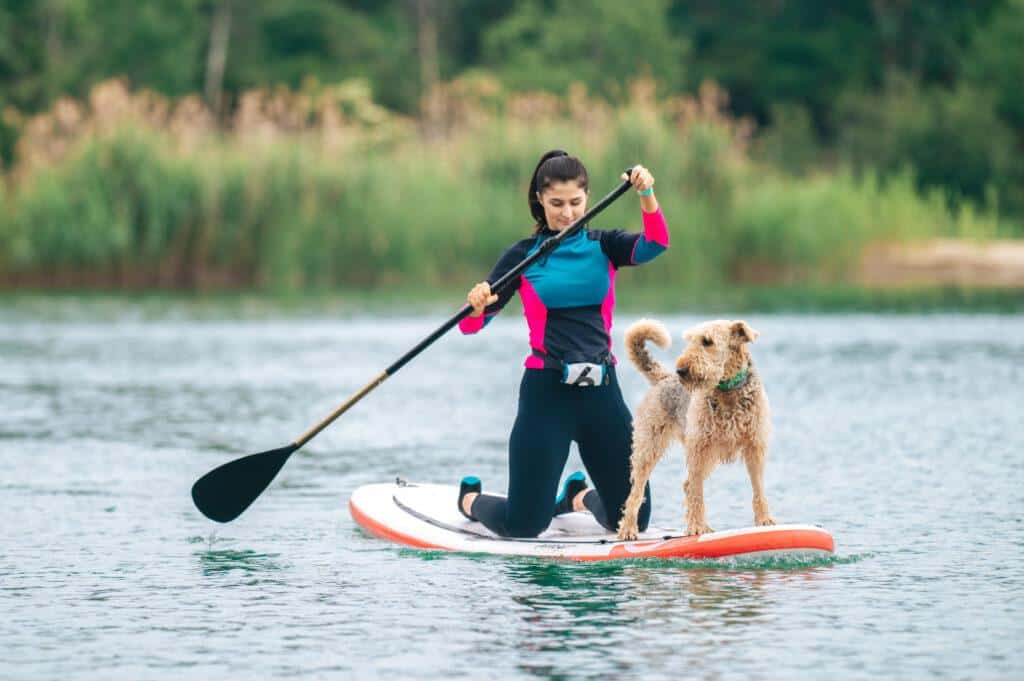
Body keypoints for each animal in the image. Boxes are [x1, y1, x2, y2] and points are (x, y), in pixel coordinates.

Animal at [614, 315, 774, 540]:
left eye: (707, 341)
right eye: (689, 340)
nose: (681, 370)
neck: (728, 390)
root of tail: (664, 377)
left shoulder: (755, 445)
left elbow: (758, 487)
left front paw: (765, 521)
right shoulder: (699, 447)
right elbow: (698, 493)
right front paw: (696, 528)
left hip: (706, 456)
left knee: (687, 485)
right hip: (649, 449)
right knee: (637, 493)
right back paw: (628, 530)